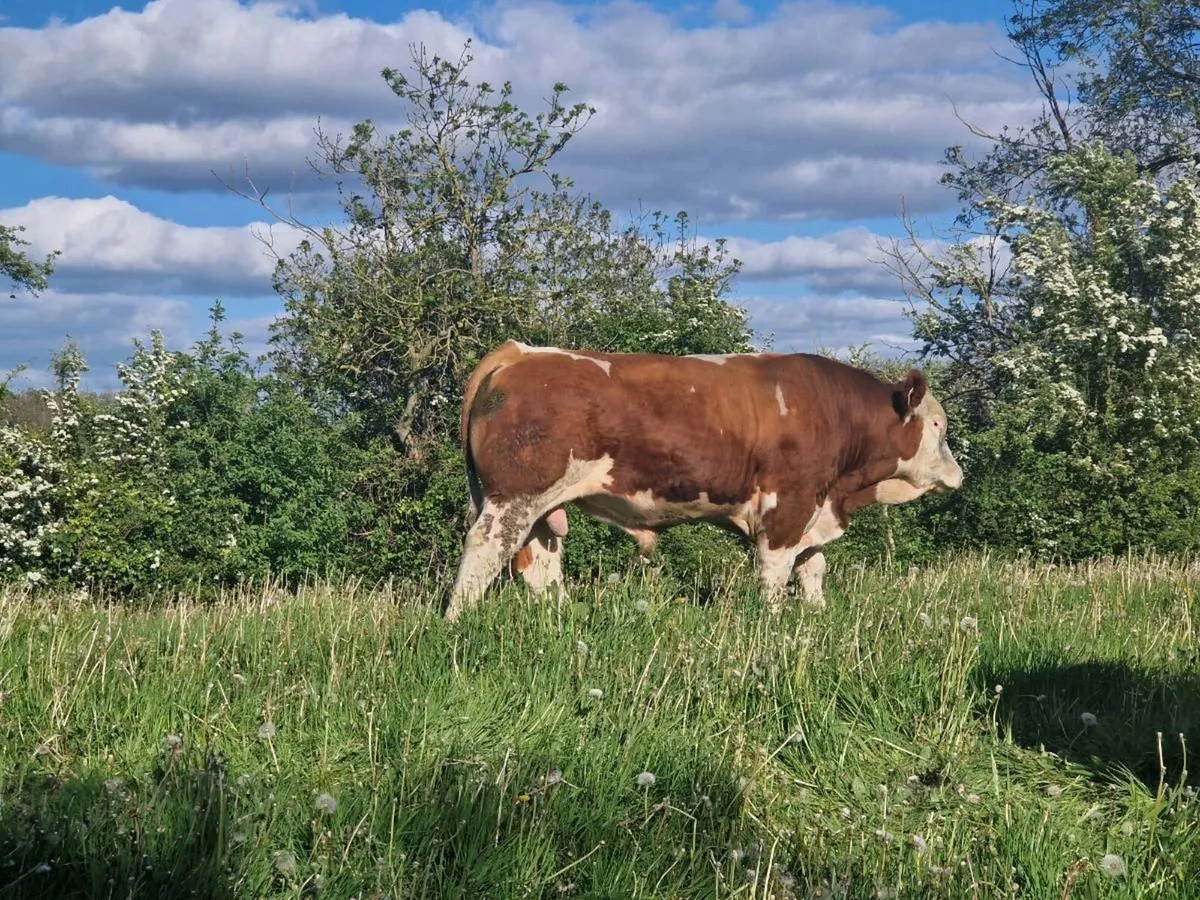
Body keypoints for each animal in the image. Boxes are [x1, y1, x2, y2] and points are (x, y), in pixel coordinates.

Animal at [444, 340, 963, 622]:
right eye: (939, 425)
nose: (958, 474)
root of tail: (518, 352)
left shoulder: (814, 508)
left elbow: (812, 569)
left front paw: (816, 618)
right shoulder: (788, 506)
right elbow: (775, 575)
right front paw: (773, 625)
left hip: (540, 505)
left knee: (538, 561)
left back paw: (559, 619)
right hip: (513, 496)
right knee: (485, 551)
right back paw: (456, 622)